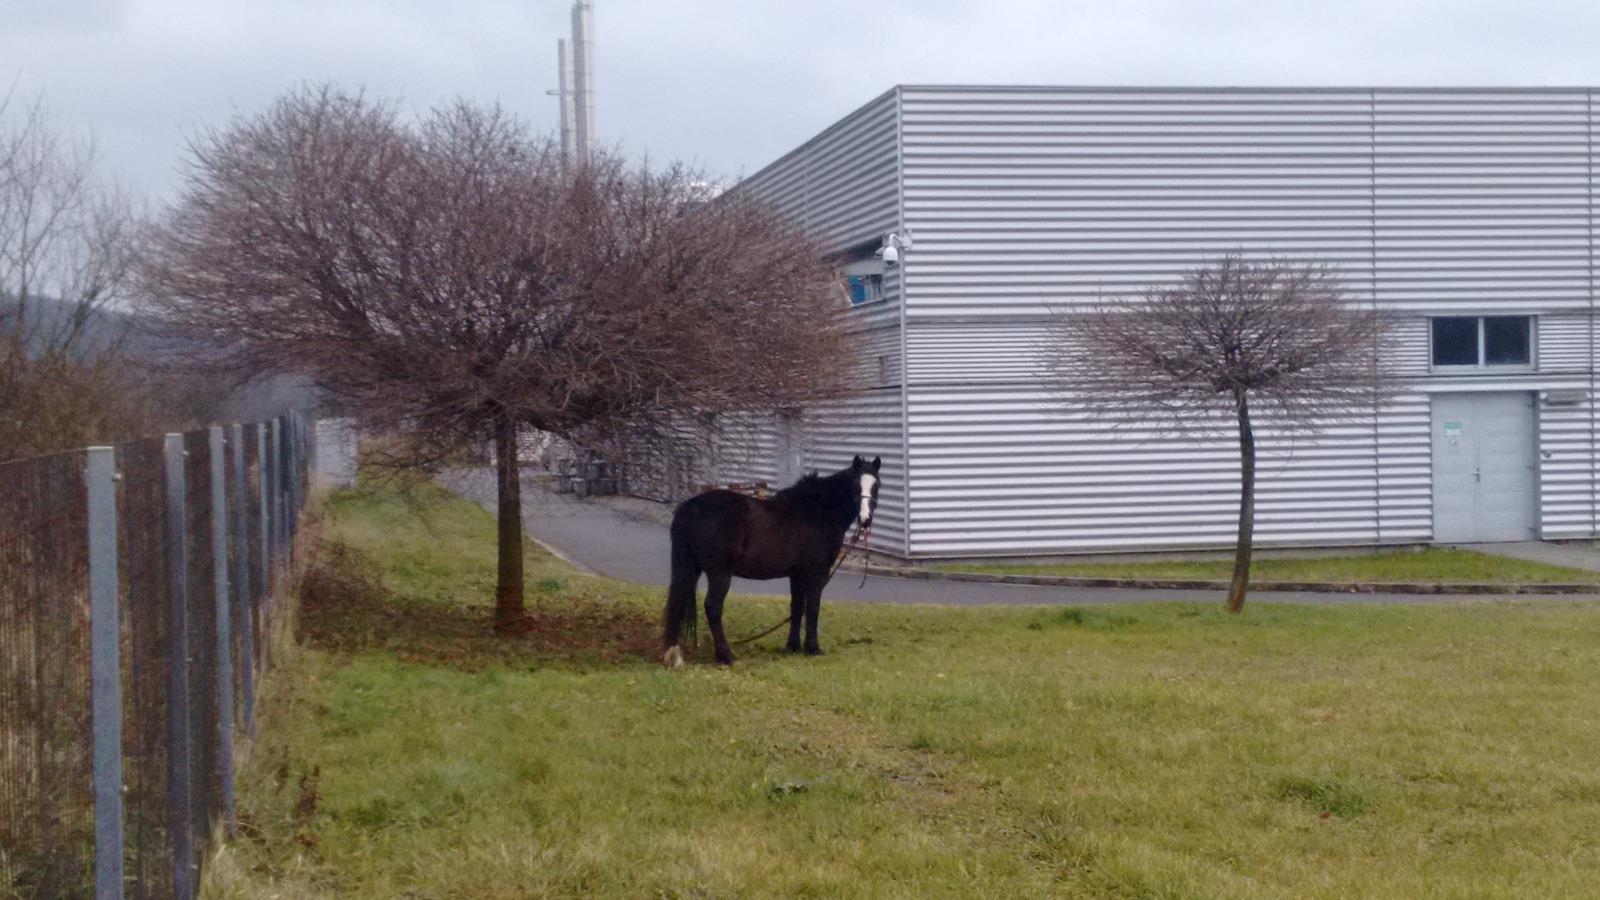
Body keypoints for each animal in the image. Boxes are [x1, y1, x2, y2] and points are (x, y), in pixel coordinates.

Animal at [665, 451, 889, 662]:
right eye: (855, 484)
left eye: (876, 485)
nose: (865, 520)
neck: (819, 511)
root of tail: (690, 508)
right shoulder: (816, 572)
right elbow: (813, 608)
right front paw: (813, 648)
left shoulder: (797, 574)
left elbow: (797, 607)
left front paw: (792, 646)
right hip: (719, 573)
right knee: (713, 607)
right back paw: (726, 656)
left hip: (692, 569)